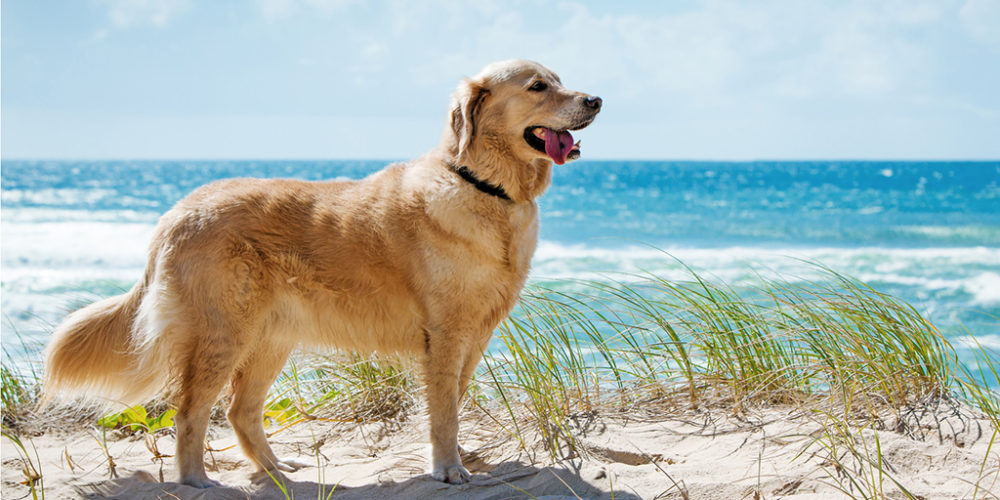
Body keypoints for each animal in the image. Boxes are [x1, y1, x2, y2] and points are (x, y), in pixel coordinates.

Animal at [43, 59, 600, 488]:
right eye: (537, 86)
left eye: (560, 78)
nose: (596, 99)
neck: (484, 186)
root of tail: (178, 210)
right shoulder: (445, 334)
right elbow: (443, 410)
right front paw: (447, 468)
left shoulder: (475, 334)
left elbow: (454, 403)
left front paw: (458, 458)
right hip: (224, 333)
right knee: (190, 412)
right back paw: (197, 479)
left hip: (270, 338)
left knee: (239, 411)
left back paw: (276, 471)